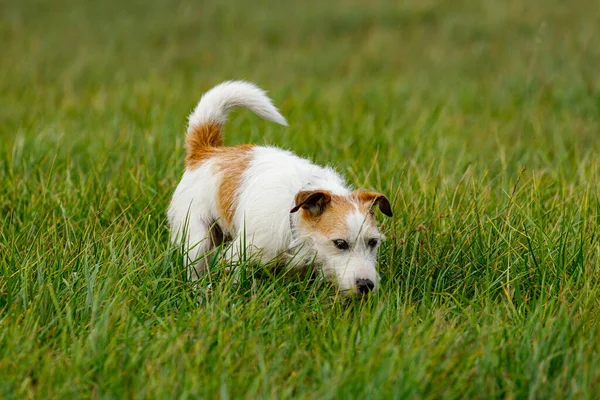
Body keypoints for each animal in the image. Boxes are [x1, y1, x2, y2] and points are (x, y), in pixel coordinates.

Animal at [169, 80, 394, 296]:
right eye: (340, 244)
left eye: (373, 242)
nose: (366, 285)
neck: (293, 220)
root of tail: (207, 151)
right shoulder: (240, 253)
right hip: (198, 237)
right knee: (195, 265)